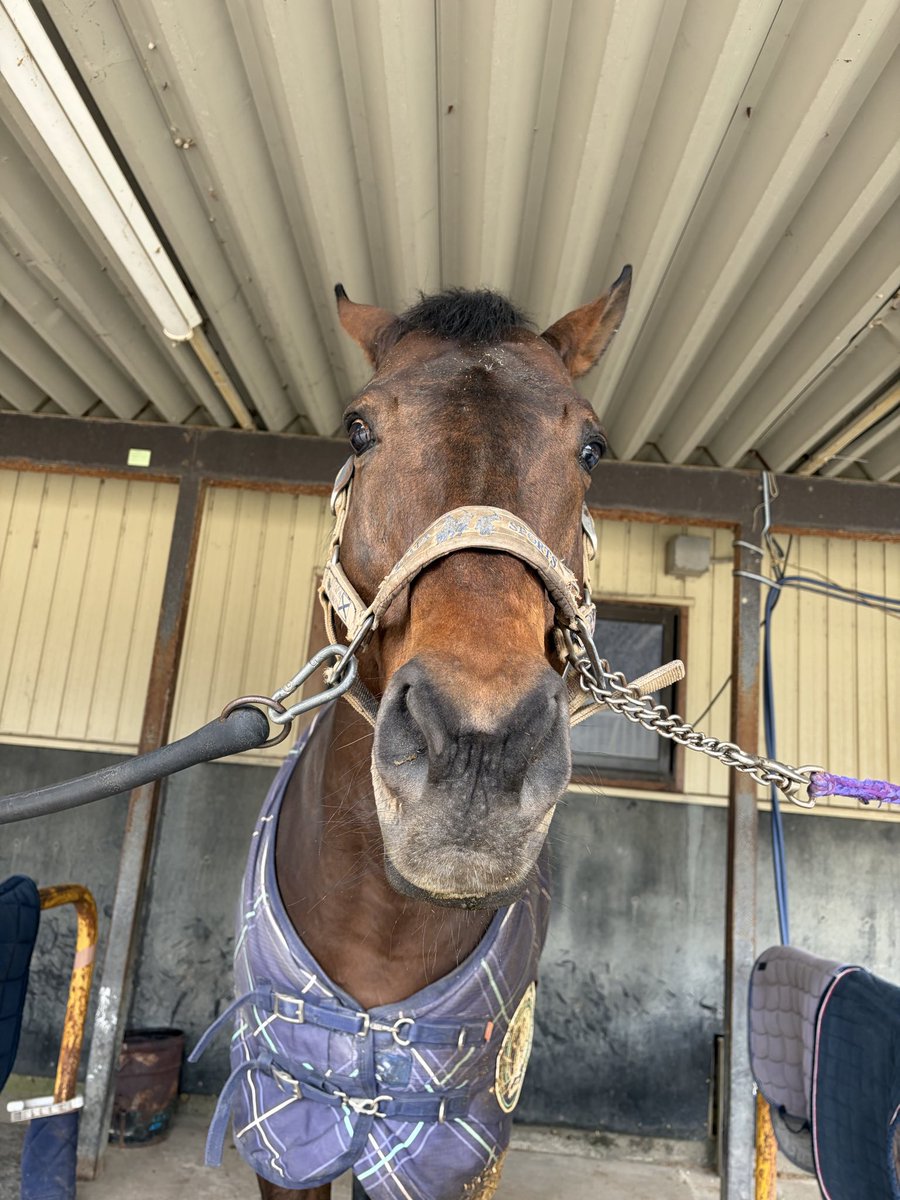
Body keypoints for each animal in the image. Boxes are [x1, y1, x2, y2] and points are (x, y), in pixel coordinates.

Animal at [193, 267, 631, 1200]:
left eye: (592, 448)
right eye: (358, 429)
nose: (478, 746)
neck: (382, 921)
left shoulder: (456, 1146)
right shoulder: (287, 1117)